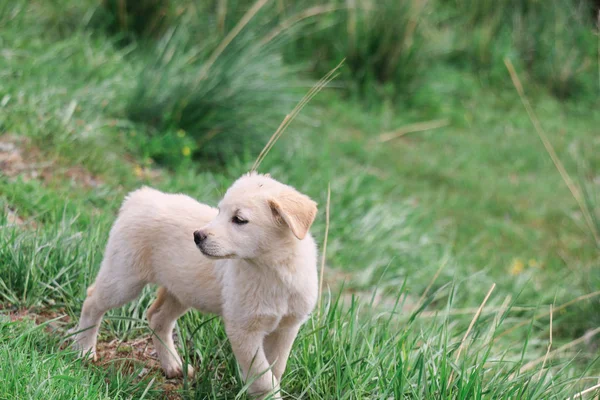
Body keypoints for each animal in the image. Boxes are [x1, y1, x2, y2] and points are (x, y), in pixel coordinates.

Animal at [72, 173, 318, 398]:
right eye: (219, 211)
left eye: (239, 219)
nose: (197, 236)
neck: (272, 270)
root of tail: (140, 197)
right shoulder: (243, 329)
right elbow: (264, 378)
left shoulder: (287, 327)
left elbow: (275, 369)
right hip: (124, 279)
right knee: (92, 300)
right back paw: (84, 349)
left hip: (182, 290)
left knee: (157, 317)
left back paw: (172, 365)